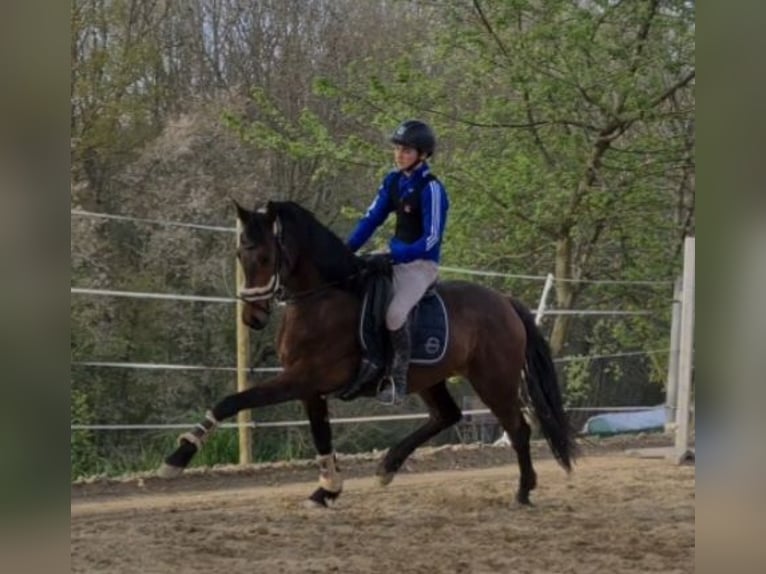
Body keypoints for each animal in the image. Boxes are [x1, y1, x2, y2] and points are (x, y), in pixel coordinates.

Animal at [160, 201, 576, 508]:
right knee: (447, 415)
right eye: (239, 254)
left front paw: (177, 459)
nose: (253, 317)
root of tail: (504, 301)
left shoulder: (301, 379)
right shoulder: (309, 387)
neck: (320, 299)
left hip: (493, 380)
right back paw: (388, 466)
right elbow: (321, 436)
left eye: (264, 256)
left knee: (518, 428)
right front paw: (326, 490)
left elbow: (233, 401)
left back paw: (523, 491)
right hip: (430, 378)